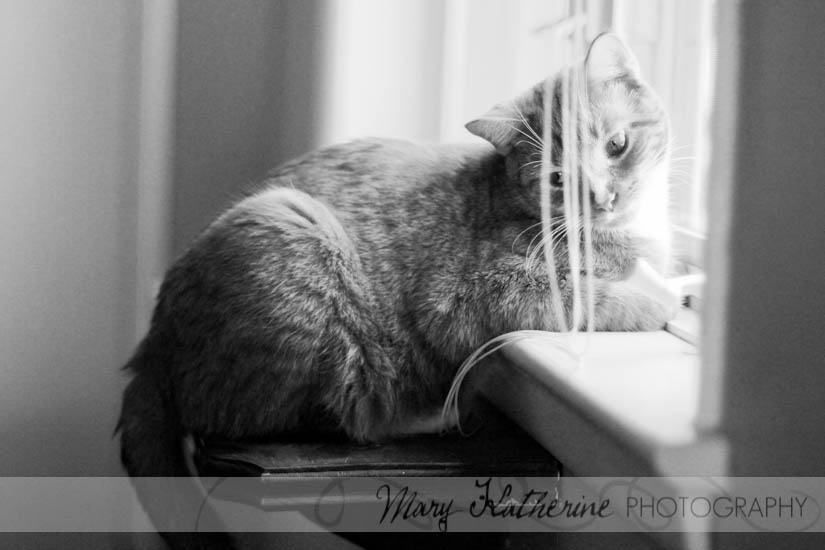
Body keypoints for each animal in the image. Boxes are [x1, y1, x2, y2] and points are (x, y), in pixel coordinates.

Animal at [118, 33, 672, 545]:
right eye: (558, 180)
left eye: (617, 145)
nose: (604, 198)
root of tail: (152, 345)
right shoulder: (473, 296)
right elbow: (594, 298)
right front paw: (656, 302)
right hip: (299, 240)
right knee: (323, 418)